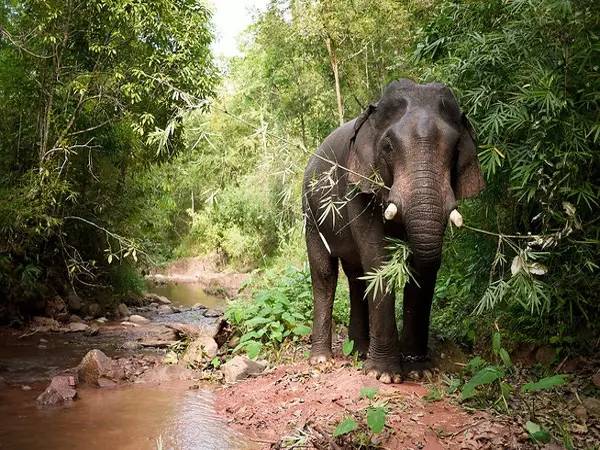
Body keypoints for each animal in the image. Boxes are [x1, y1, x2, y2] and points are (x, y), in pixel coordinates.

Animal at [302, 79, 486, 382]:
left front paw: (419, 372)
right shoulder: (358, 186)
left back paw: (359, 351)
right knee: (325, 274)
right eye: (388, 146)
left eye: (454, 149)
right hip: (311, 214)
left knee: (357, 276)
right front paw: (385, 375)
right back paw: (321, 359)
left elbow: (422, 267)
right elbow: (379, 260)